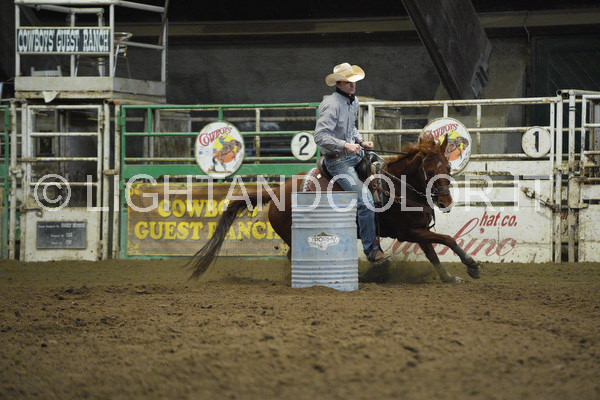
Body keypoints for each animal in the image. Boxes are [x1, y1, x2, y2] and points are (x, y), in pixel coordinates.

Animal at [189, 136, 481, 283]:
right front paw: (472, 265)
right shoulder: (409, 232)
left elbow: (433, 254)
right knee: (294, 256)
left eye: (449, 168)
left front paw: (449, 277)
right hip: (293, 234)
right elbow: (448, 239)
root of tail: (274, 191)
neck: (398, 187)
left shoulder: (418, 230)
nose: (445, 203)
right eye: (429, 171)